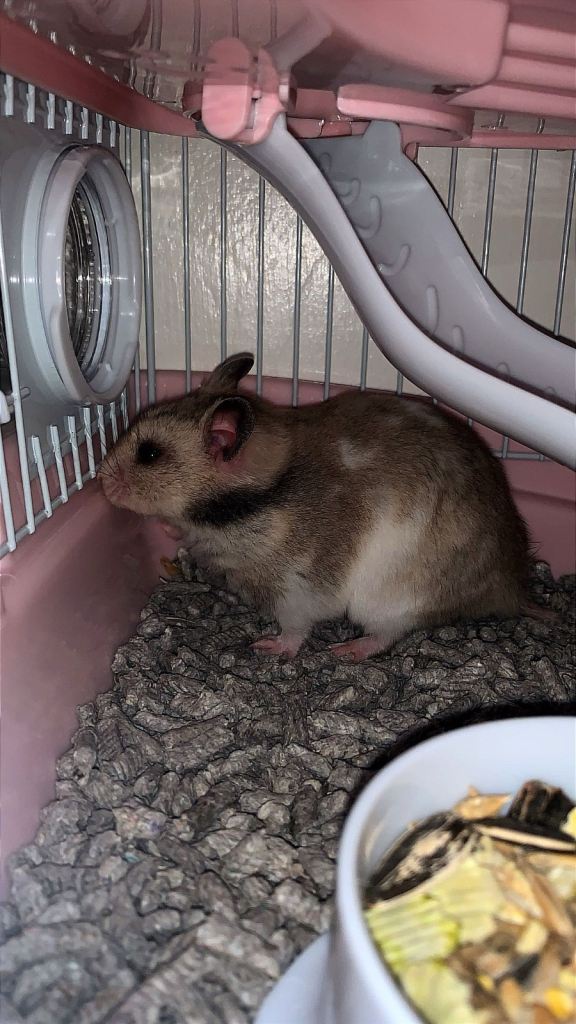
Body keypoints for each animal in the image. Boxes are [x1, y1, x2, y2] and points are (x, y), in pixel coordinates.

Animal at [99, 352, 532, 661]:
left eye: (149, 453)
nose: (100, 482)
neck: (246, 505)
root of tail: (510, 588)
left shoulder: (296, 588)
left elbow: (295, 628)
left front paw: (268, 648)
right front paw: (168, 527)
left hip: (393, 599)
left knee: (389, 633)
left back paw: (346, 651)